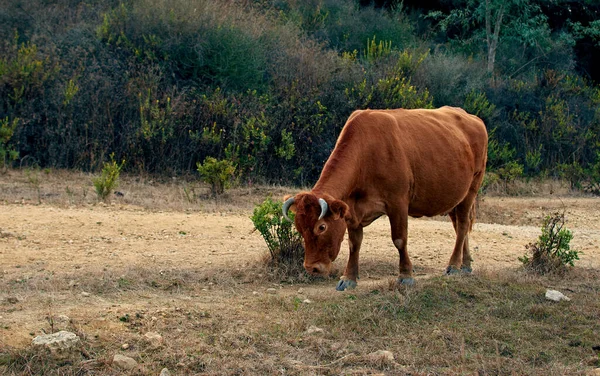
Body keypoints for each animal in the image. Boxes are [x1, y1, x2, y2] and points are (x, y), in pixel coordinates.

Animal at [282, 106, 488, 290]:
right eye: (299, 228)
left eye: (322, 227)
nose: (312, 268)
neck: (367, 152)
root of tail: (473, 118)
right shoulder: (352, 210)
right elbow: (354, 244)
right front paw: (349, 278)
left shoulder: (398, 203)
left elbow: (399, 239)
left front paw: (405, 276)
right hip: (455, 198)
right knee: (460, 227)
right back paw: (465, 264)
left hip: (472, 188)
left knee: (462, 225)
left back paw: (454, 265)